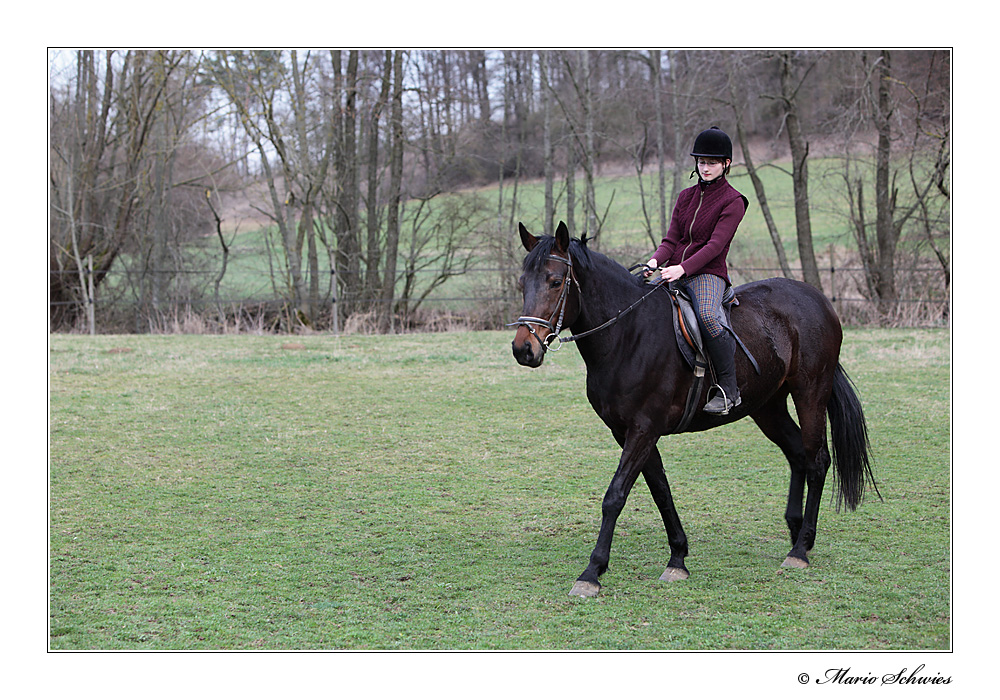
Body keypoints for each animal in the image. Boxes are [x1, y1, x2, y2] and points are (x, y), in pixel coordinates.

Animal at [508, 221, 876, 600]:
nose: (523, 349)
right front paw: (678, 558)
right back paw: (796, 532)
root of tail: (818, 299)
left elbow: (616, 495)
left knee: (817, 461)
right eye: (522, 282)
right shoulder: (629, 432)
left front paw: (592, 572)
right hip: (768, 406)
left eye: (555, 281)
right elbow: (660, 491)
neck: (628, 334)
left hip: (810, 394)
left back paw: (800, 549)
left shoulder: (644, 428)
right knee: (797, 455)